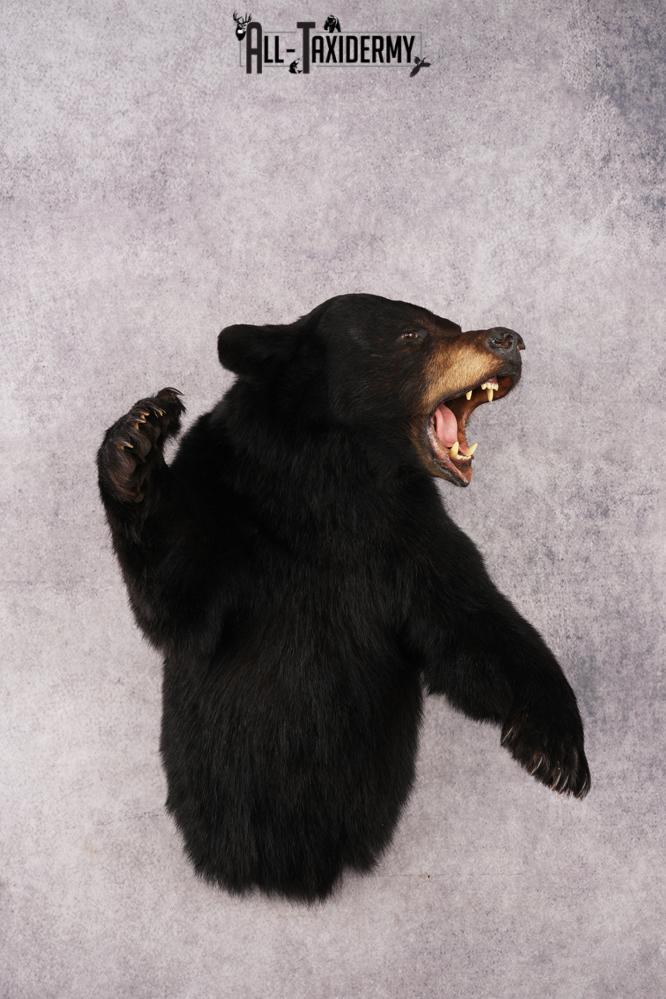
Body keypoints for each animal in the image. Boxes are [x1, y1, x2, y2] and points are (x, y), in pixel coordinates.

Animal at [97, 293, 590, 902]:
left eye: (451, 324)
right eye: (412, 335)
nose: (510, 340)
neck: (335, 482)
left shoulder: (411, 533)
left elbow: (470, 625)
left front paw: (556, 747)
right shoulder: (225, 492)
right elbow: (179, 600)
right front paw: (138, 439)